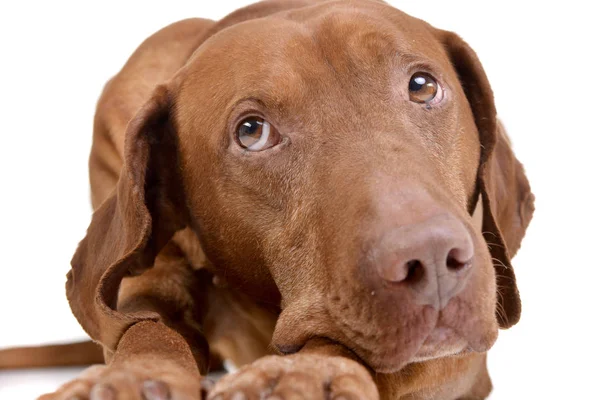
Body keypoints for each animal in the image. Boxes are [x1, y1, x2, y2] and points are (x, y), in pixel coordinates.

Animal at [1, 0, 536, 398]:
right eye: (251, 132)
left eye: (422, 86)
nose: (433, 259)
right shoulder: (146, 290)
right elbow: (147, 332)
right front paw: (130, 379)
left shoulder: (463, 355)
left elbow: (348, 345)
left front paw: (302, 373)